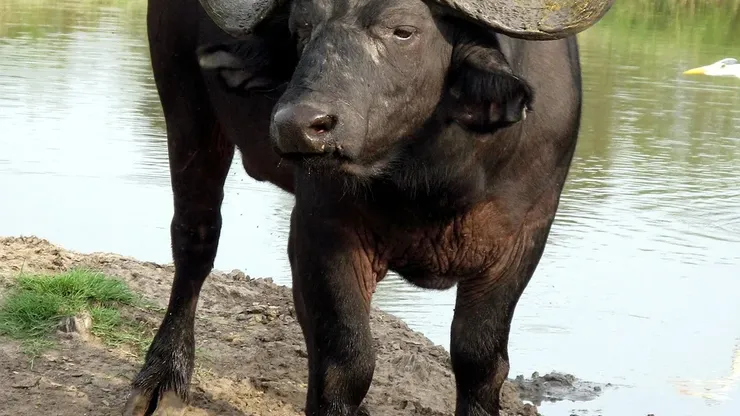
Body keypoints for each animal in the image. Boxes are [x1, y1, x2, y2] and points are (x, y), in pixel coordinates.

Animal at [124, 0, 614, 415]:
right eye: (301, 27)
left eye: (403, 31)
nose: (298, 125)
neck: (435, 178)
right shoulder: (328, 231)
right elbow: (348, 361)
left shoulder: (522, 241)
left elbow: (480, 361)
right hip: (186, 106)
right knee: (196, 239)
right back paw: (161, 381)